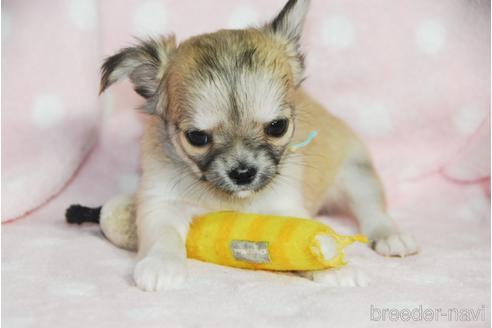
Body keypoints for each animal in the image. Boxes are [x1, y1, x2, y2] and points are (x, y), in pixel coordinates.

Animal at [101, 0, 418, 292]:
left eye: (277, 126)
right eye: (197, 137)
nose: (243, 173)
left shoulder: (285, 206)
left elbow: (307, 234)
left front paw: (332, 267)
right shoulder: (162, 202)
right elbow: (163, 234)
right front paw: (162, 264)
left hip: (354, 171)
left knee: (372, 208)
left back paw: (391, 236)